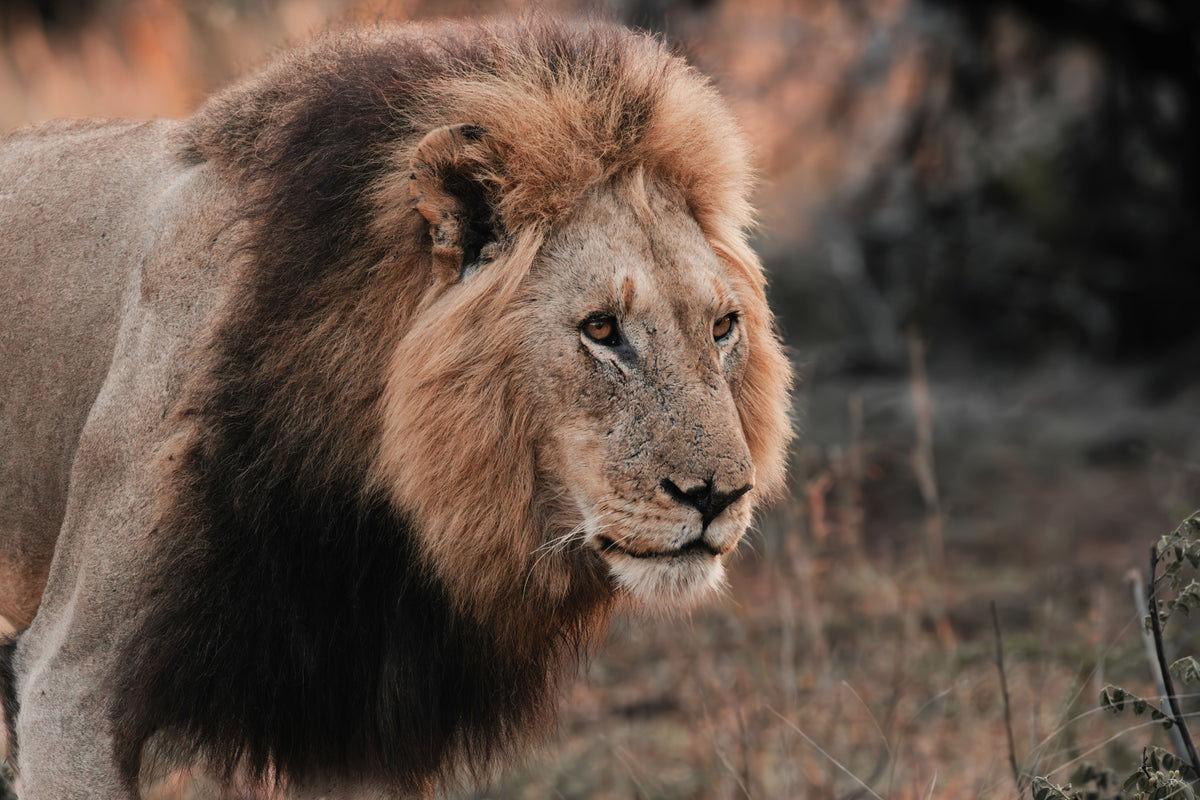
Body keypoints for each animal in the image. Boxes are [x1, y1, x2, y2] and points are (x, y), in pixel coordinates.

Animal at [0, 16, 791, 799]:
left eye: (723, 327)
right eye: (601, 329)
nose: (718, 497)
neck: (378, 503)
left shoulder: (358, 720)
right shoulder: (71, 684)